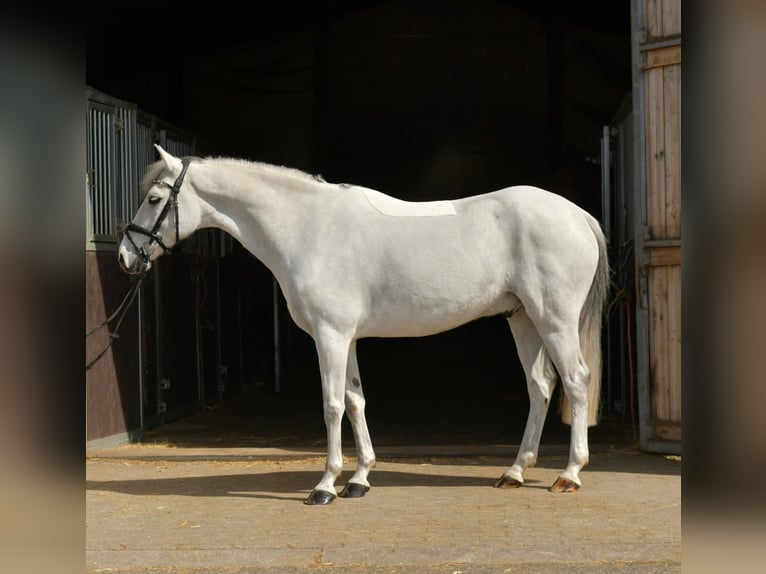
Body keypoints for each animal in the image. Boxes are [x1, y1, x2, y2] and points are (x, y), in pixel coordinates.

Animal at [118, 144, 609, 505]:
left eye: (155, 199)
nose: (126, 256)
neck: (309, 227)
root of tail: (578, 215)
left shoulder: (330, 337)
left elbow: (333, 404)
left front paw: (324, 487)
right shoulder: (345, 338)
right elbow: (356, 401)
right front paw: (359, 480)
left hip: (554, 320)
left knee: (575, 381)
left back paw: (570, 474)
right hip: (523, 319)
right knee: (540, 386)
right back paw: (515, 471)